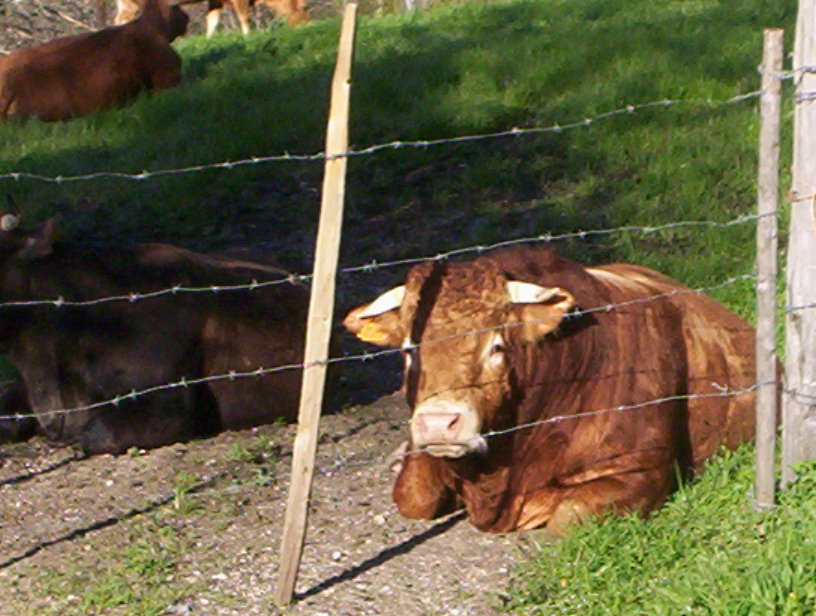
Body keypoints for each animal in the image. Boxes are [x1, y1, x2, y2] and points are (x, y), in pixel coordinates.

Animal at [342, 245, 756, 536]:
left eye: (497, 346)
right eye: (409, 349)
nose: (438, 423)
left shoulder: (643, 469)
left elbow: (566, 518)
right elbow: (412, 497)